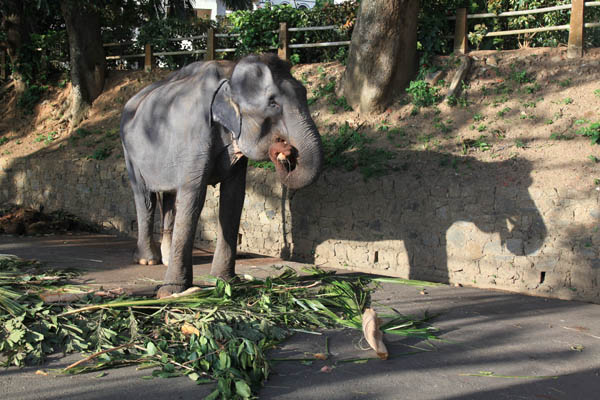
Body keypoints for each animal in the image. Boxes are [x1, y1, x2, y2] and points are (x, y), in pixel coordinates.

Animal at [119, 53, 322, 296]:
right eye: (273, 103)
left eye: (304, 93)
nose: (285, 149)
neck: (230, 71)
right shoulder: (195, 134)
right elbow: (193, 197)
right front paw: (172, 292)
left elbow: (234, 197)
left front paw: (226, 282)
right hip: (129, 152)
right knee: (144, 197)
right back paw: (147, 260)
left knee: (169, 197)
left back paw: (165, 258)